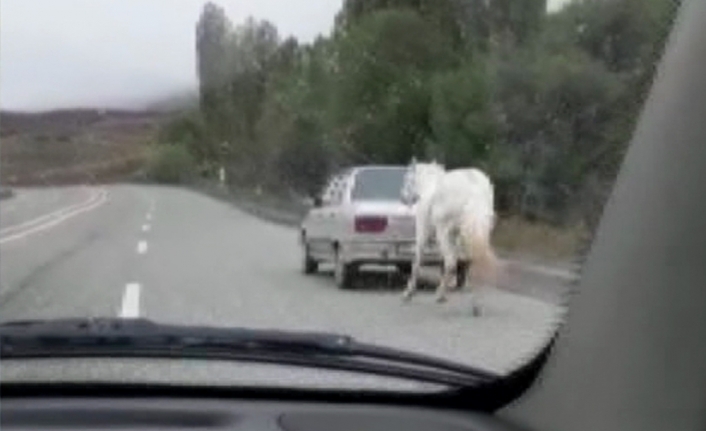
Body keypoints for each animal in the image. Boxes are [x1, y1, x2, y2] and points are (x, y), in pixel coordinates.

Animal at [402, 160, 496, 316]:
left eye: (407, 178)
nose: (403, 198)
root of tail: (474, 190)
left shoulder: (423, 231)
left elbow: (417, 260)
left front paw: (409, 293)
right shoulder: (456, 237)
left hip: (443, 231)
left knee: (451, 261)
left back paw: (440, 295)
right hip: (477, 232)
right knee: (471, 261)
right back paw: (475, 305)